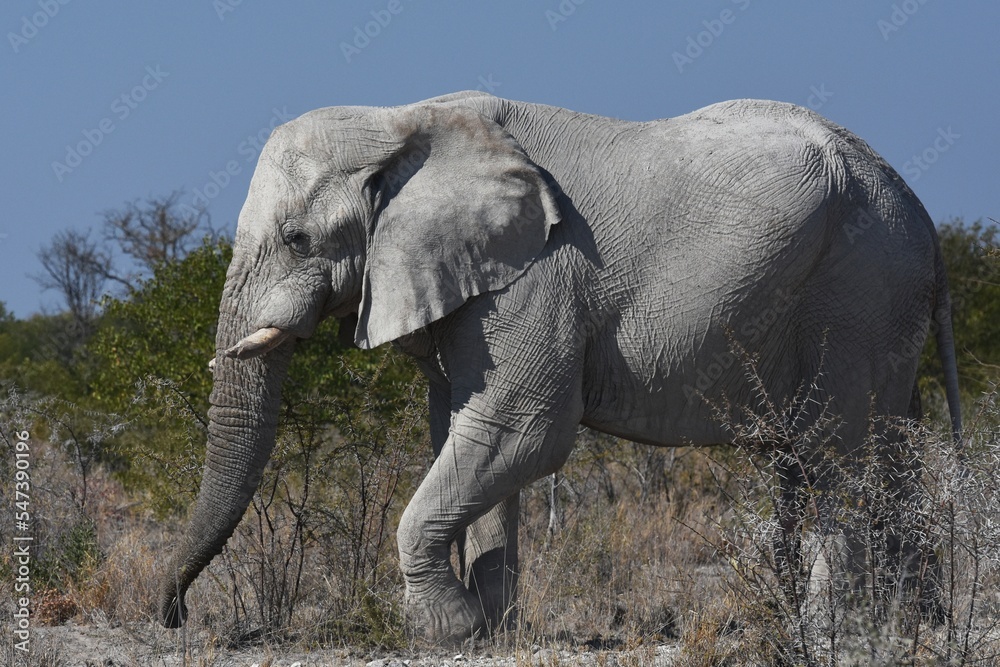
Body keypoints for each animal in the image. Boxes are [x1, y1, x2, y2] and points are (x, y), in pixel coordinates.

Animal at [160, 90, 964, 640]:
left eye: (297, 238)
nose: (174, 614)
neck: (403, 120)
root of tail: (923, 215)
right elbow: (462, 432)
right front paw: (490, 629)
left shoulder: (541, 274)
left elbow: (524, 430)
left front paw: (449, 632)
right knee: (871, 450)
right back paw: (913, 624)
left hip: (858, 288)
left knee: (835, 452)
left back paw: (835, 632)